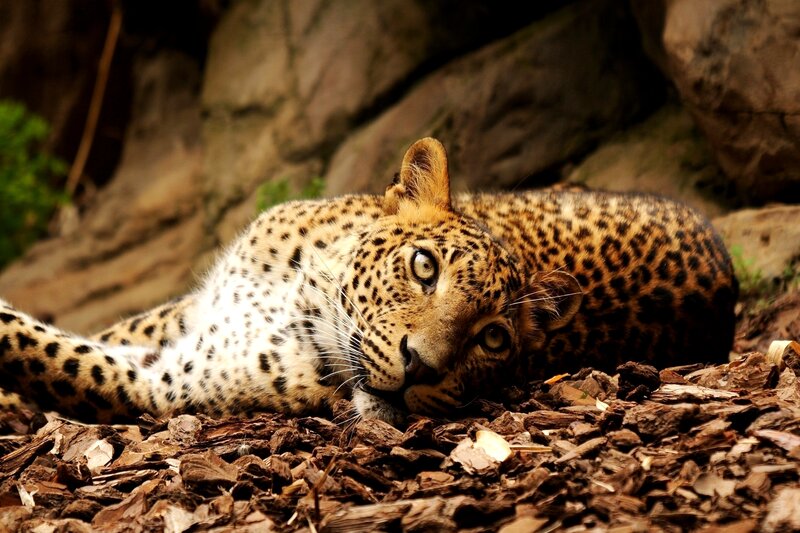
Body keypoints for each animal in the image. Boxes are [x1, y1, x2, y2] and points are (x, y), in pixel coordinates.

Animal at [0, 137, 737, 425]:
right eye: (424, 267)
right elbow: (106, 326)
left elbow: (39, 349)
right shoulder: (191, 310)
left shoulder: (161, 383)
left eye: (493, 339)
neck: (301, 295)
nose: (422, 368)